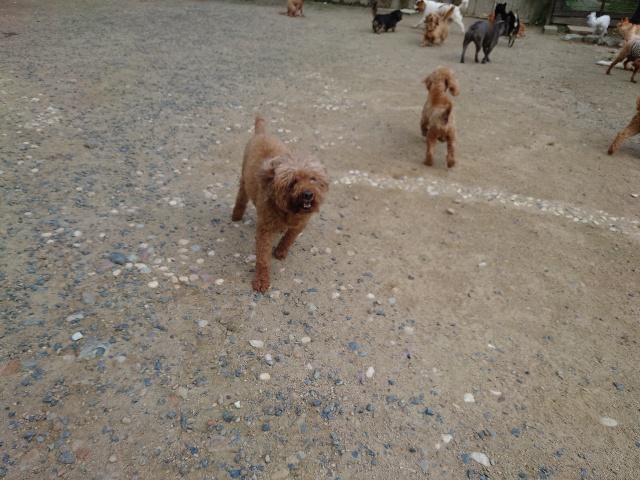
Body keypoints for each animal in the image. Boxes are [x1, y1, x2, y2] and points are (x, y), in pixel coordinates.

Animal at [231, 116, 329, 292]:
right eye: (293, 181)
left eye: (312, 178)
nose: (308, 194)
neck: (290, 211)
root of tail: (261, 133)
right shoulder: (265, 230)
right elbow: (263, 258)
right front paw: (261, 281)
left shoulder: (300, 225)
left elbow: (289, 239)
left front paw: (280, 252)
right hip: (243, 180)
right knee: (241, 198)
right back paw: (236, 216)